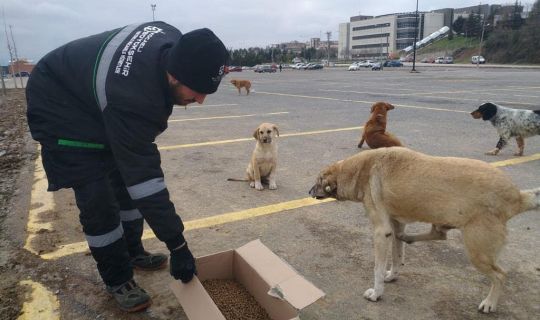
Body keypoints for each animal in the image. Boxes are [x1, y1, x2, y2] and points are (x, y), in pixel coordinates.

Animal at [308, 148, 540, 312]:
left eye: (318, 180)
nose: (308, 191)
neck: (359, 169)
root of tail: (517, 196)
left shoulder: (381, 232)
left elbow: (377, 268)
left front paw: (377, 293)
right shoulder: (394, 225)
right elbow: (396, 255)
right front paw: (392, 275)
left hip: (478, 252)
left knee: (500, 275)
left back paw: (490, 303)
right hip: (446, 224)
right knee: (438, 234)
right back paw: (408, 237)